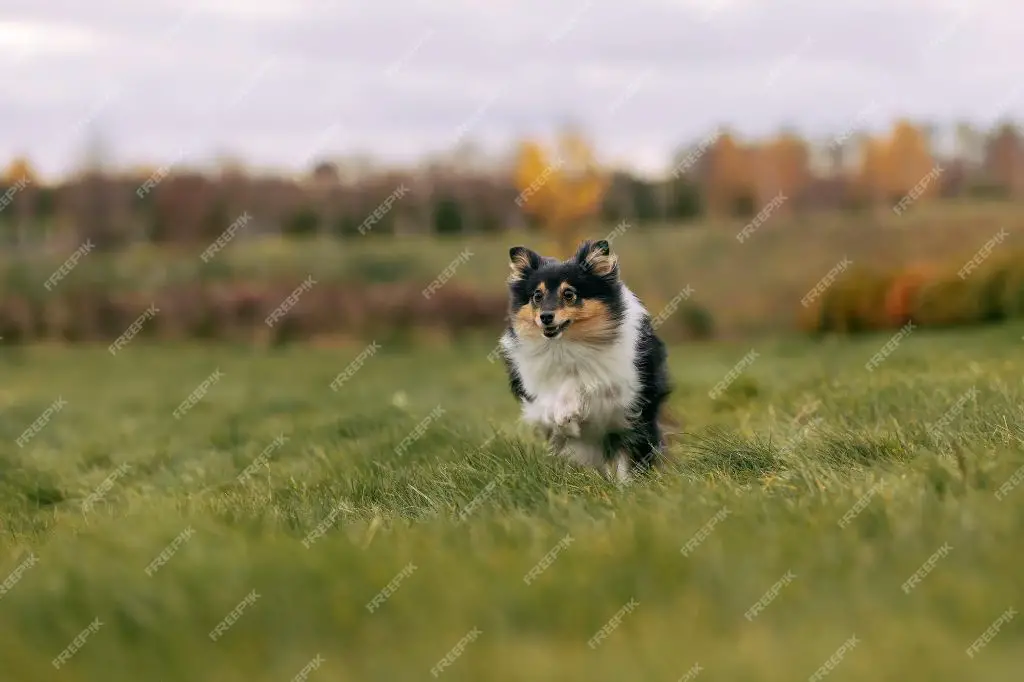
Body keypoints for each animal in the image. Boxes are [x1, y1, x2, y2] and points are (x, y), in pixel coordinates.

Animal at [495, 237, 671, 477]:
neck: (566, 345)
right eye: (537, 296)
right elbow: (548, 406)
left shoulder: (619, 388)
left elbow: (583, 383)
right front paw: (564, 420)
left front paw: (567, 411)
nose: (545, 317)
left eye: (569, 294)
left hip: (637, 420)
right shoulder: (533, 390)